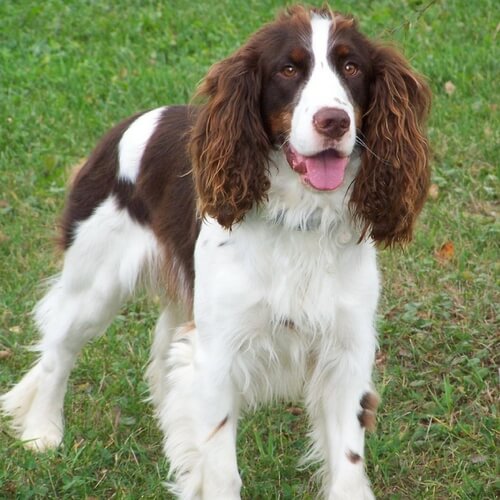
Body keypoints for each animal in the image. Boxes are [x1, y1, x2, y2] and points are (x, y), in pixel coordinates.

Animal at [0, 4, 430, 500]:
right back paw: (42, 431)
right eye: (288, 69)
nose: (333, 121)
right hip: (94, 284)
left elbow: (347, 463)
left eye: (352, 67)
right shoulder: (219, 355)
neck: (301, 217)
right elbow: (222, 467)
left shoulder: (346, 352)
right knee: (58, 349)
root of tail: (127, 125)